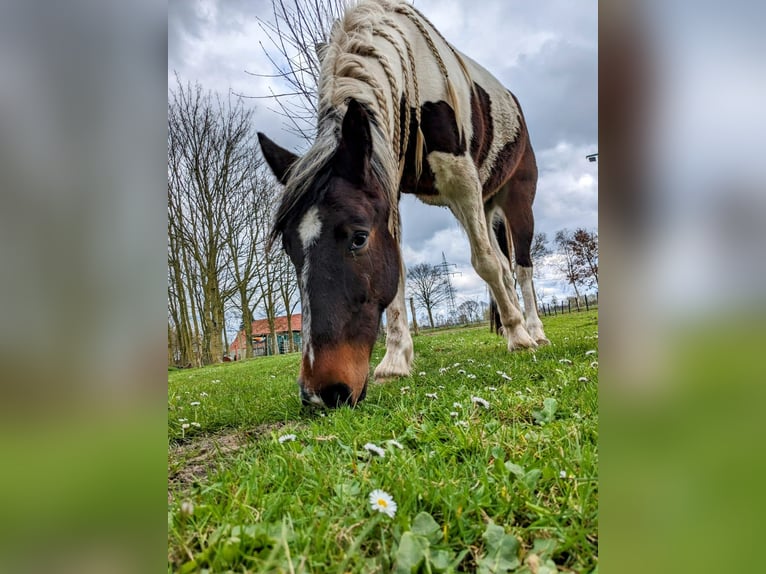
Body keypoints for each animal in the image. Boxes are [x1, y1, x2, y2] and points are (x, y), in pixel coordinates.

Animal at [260, 0, 548, 410]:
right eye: (289, 248)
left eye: (359, 237)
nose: (320, 393)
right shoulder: (389, 186)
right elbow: (398, 271)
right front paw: (396, 361)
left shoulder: (460, 176)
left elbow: (486, 264)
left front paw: (520, 337)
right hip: (483, 204)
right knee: (506, 266)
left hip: (515, 202)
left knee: (520, 268)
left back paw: (533, 331)